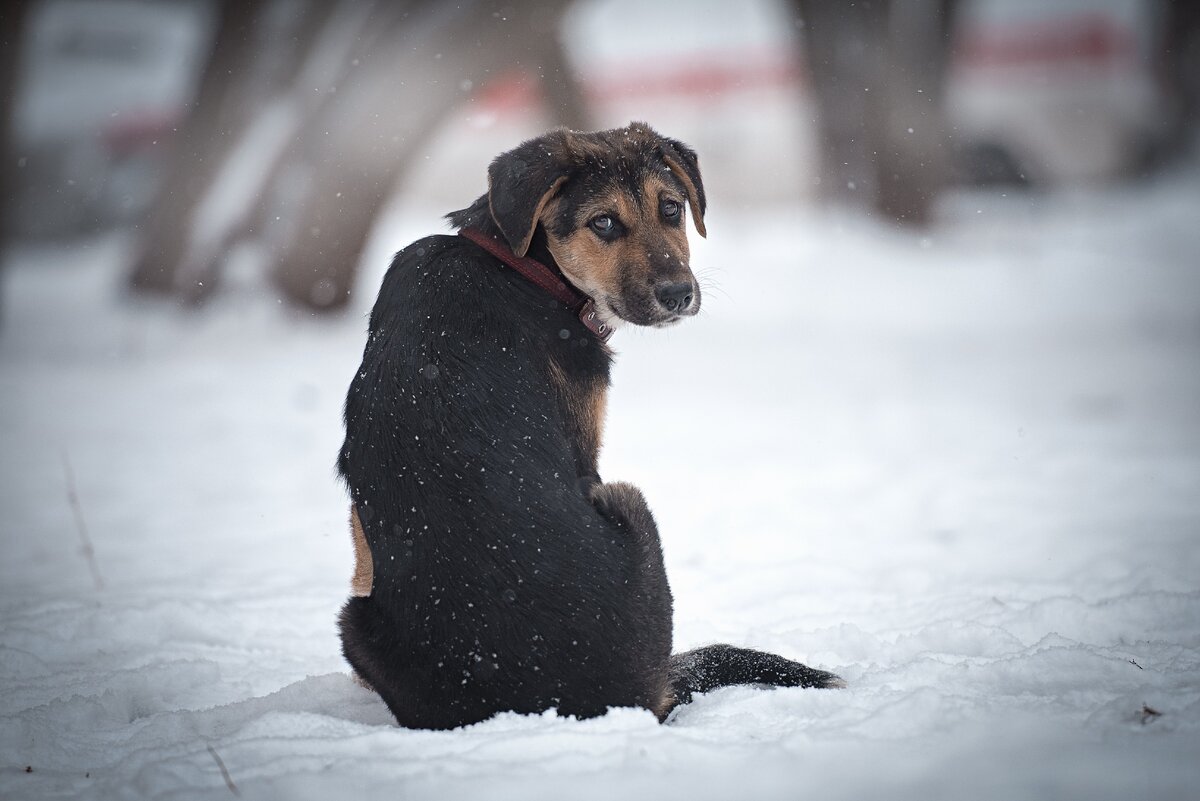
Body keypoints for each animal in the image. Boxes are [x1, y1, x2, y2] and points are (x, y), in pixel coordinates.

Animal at [338, 122, 844, 729]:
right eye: (603, 223)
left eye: (671, 208)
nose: (679, 296)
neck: (521, 265)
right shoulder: (587, 455)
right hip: (626, 499)